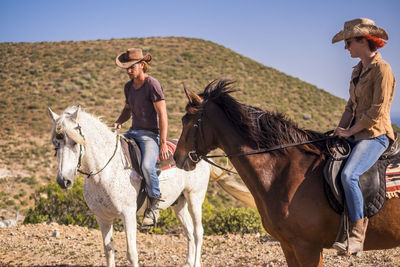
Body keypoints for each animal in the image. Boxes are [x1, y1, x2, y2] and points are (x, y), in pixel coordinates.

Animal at [47, 106, 256, 267]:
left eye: (75, 142)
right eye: (56, 144)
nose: (63, 181)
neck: (105, 171)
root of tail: (198, 155)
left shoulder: (128, 215)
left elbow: (131, 253)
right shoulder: (103, 218)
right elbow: (108, 250)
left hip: (194, 197)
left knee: (198, 232)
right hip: (179, 204)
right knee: (189, 231)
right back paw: (188, 262)